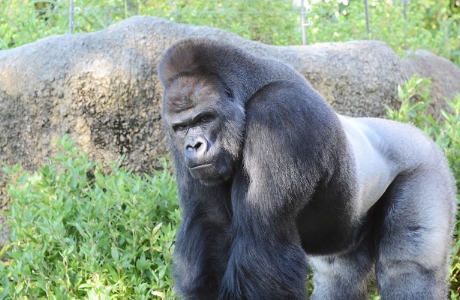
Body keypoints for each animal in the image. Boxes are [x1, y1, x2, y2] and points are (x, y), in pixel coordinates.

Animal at [157, 38, 456, 298]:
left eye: (205, 118)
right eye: (182, 127)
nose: (193, 145)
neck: (249, 92)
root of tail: (418, 133)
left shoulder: (278, 112)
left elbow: (263, 239)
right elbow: (212, 223)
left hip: (426, 166)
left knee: (408, 269)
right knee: (339, 278)